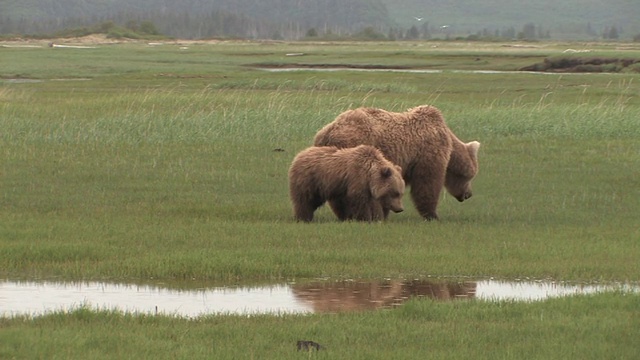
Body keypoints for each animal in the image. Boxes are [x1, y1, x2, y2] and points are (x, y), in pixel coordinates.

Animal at [316, 105, 480, 221]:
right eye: (471, 176)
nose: (468, 194)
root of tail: (328, 131)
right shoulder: (428, 154)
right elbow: (427, 183)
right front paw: (432, 215)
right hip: (352, 144)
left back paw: (343, 214)